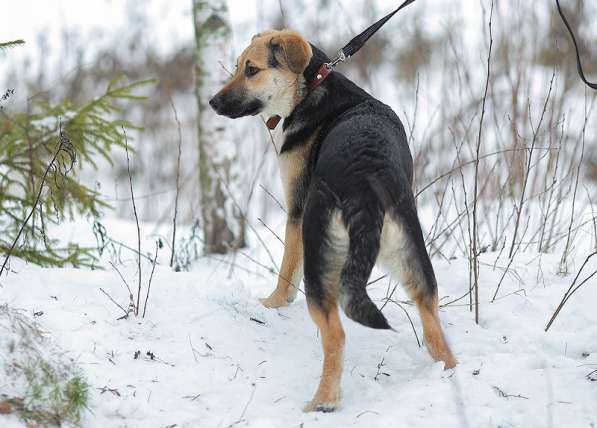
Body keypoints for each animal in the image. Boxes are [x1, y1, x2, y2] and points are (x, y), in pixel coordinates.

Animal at [210, 29, 456, 412]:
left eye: (251, 70)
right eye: (238, 67)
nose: (212, 102)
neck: (310, 88)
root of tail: (367, 184)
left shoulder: (296, 212)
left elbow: (286, 272)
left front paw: (272, 303)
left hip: (322, 263)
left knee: (335, 335)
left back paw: (323, 401)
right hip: (415, 260)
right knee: (434, 330)